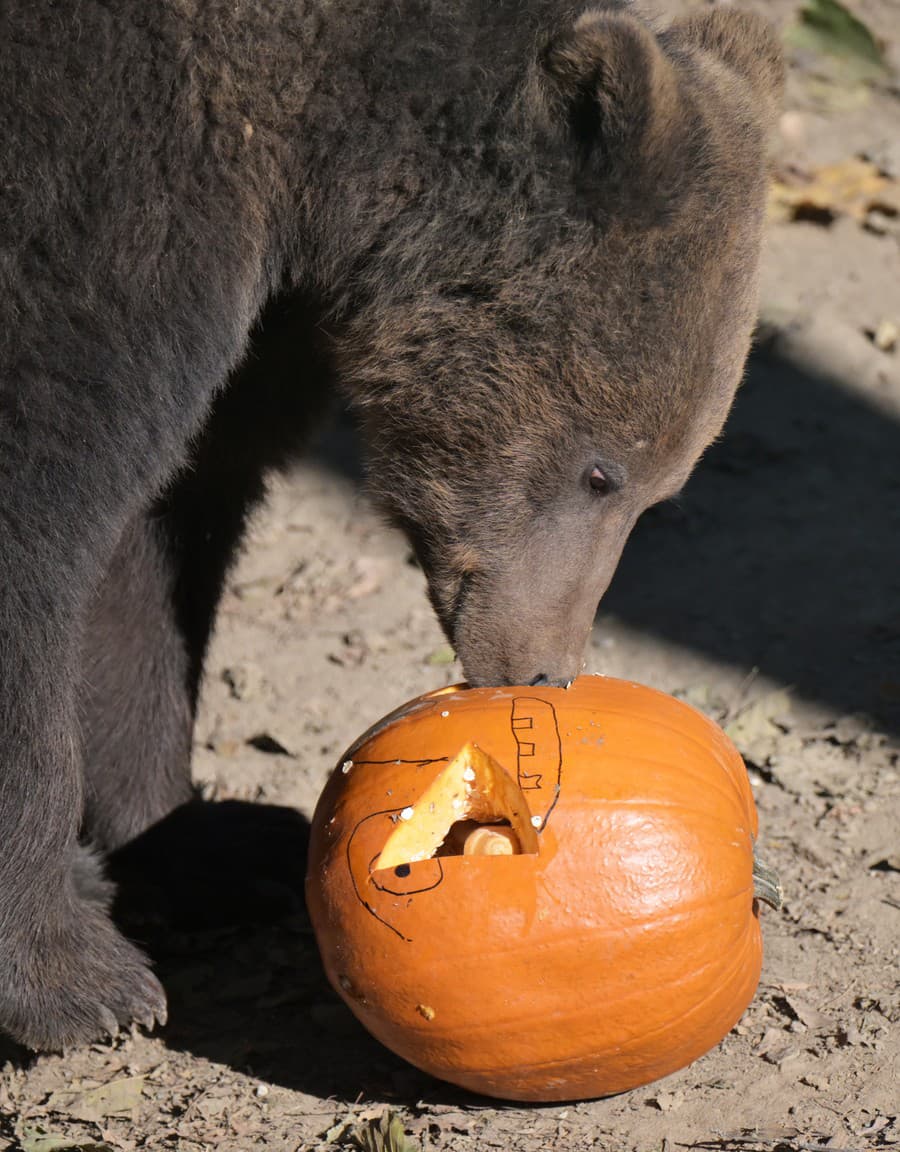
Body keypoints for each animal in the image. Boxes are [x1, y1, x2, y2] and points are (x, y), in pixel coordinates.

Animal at [0, 0, 779, 1046]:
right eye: (601, 472)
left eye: (657, 495)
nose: (547, 665)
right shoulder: (101, 188)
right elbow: (41, 511)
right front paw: (82, 981)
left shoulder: (256, 308)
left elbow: (164, 529)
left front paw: (205, 840)